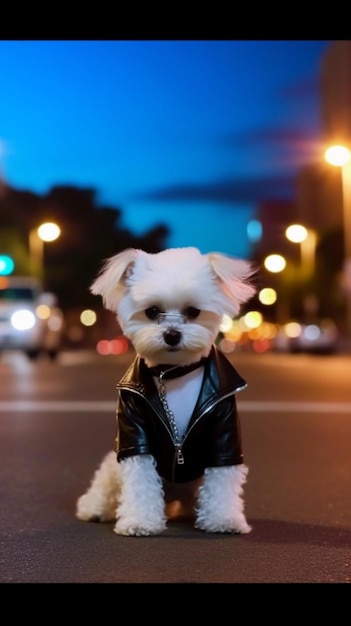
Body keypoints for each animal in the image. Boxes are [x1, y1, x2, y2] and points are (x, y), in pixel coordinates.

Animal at [77, 246, 256, 532]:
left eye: (193, 311)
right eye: (152, 311)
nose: (172, 334)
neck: (172, 372)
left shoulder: (224, 431)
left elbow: (222, 479)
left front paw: (223, 519)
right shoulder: (134, 434)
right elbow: (140, 481)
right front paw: (140, 521)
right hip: (113, 465)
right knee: (105, 486)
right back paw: (93, 508)